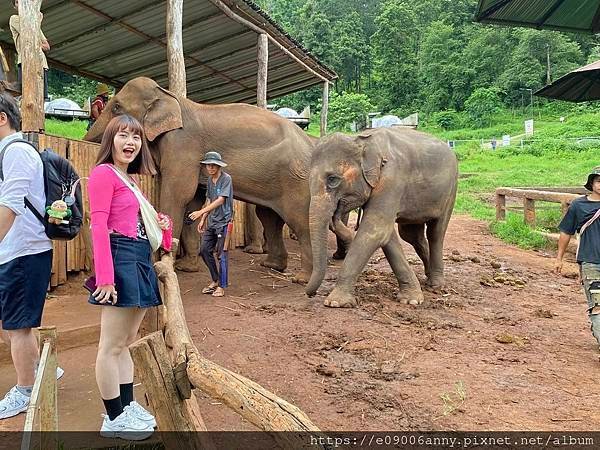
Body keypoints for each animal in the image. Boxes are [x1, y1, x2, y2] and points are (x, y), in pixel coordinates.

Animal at [86, 77, 316, 282]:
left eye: (116, 107)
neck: (169, 97)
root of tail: (310, 143)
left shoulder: (182, 145)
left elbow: (177, 195)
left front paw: (160, 264)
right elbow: (193, 203)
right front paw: (186, 268)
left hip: (296, 179)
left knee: (300, 220)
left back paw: (302, 279)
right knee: (269, 217)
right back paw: (272, 266)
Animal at [308, 128, 458, 308]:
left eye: (333, 179)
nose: (311, 294)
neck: (361, 140)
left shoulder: (392, 179)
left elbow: (375, 230)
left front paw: (335, 302)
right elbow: (386, 235)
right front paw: (411, 298)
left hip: (451, 191)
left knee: (436, 233)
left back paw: (436, 284)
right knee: (412, 236)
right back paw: (427, 277)